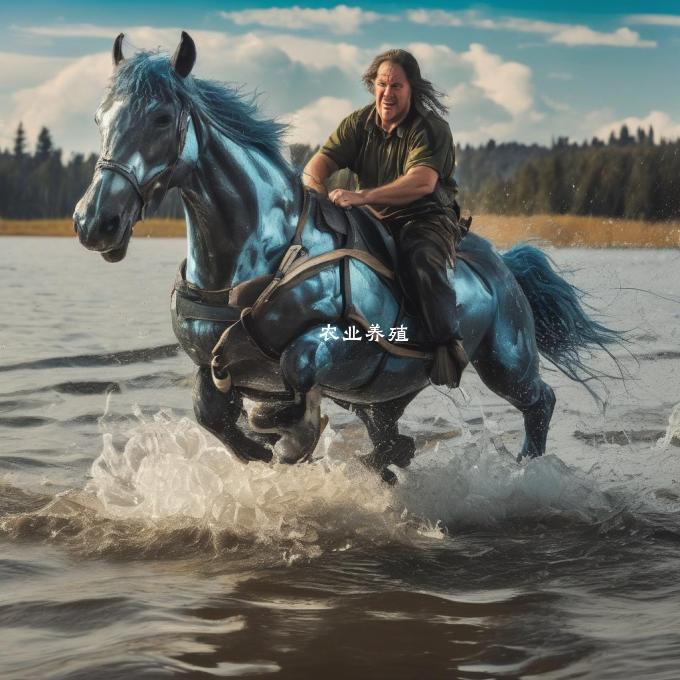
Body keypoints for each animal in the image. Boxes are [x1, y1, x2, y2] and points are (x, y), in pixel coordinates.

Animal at [74, 31, 620, 478]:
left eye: (163, 117)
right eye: (100, 118)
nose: (94, 222)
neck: (264, 253)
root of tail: (505, 266)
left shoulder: (338, 343)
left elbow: (296, 371)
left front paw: (290, 435)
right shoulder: (213, 366)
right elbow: (210, 416)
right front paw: (262, 446)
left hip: (506, 361)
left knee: (540, 403)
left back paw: (528, 468)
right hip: (386, 392)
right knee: (390, 434)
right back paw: (389, 459)